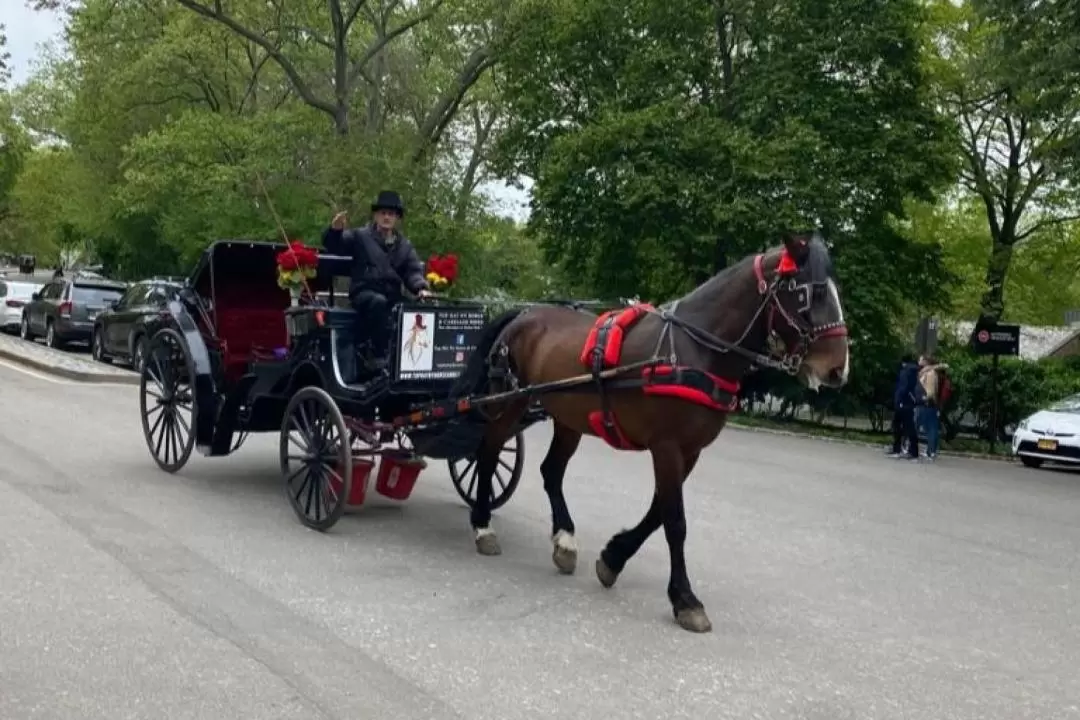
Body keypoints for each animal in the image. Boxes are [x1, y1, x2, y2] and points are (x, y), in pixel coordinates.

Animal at [451, 229, 846, 630]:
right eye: (810, 293)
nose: (837, 369)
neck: (693, 350)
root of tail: (526, 313)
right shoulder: (667, 447)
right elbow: (675, 520)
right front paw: (685, 598)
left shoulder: (689, 451)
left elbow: (658, 511)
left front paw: (613, 557)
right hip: (510, 402)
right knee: (489, 451)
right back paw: (483, 525)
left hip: (568, 418)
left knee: (551, 471)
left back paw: (564, 539)